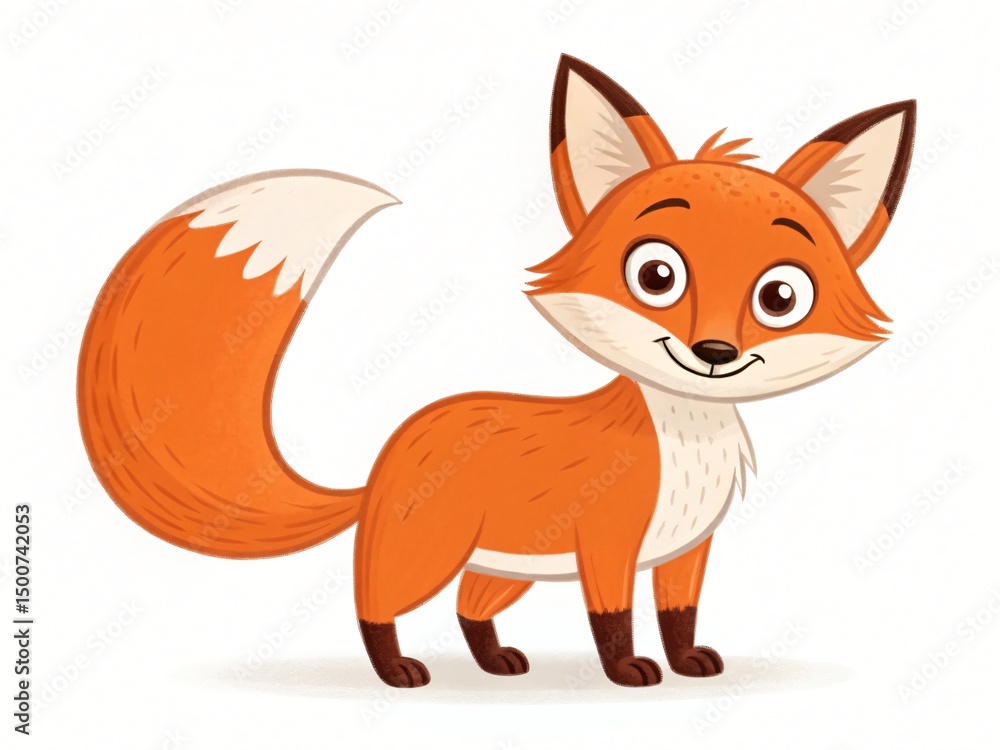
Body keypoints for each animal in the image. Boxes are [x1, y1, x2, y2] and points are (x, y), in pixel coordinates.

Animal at [77, 55, 914, 688]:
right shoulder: (607, 544)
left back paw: (496, 663)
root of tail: (394, 445)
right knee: (375, 604)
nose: (714, 356)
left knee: (470, 609)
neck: (685, 441)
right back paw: (396, 672)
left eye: (780, 296)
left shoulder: (686, 551)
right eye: (656, 276)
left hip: (507, 562)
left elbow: (680, 617)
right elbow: (613, 620)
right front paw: (628, 674)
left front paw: (687, 663)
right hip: (428, 552)